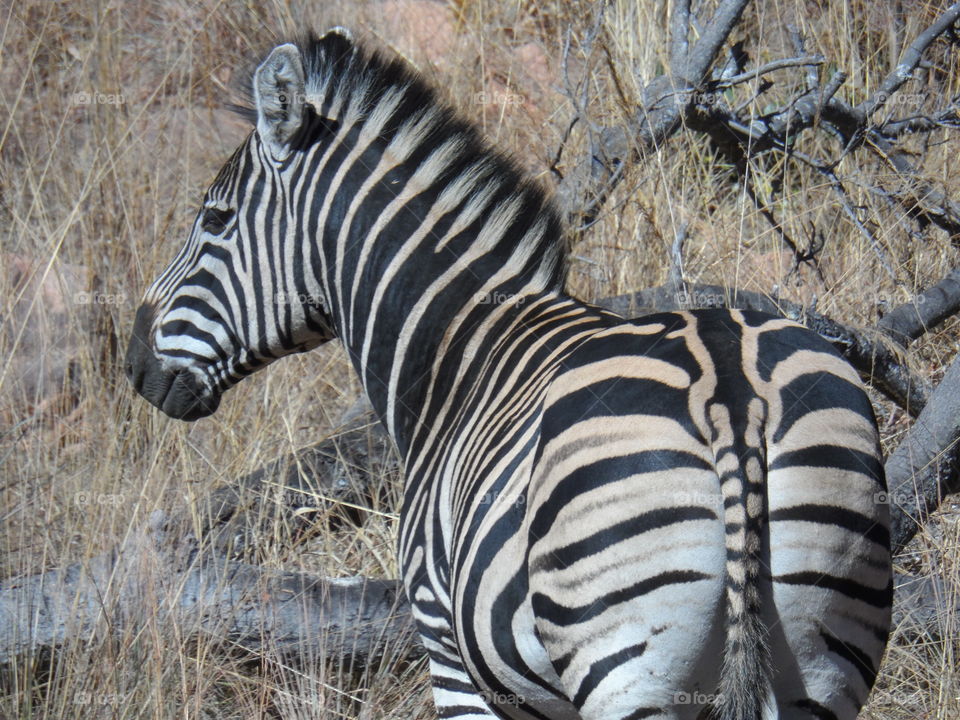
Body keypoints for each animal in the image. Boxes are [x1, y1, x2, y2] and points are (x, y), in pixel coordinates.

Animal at [125, 31, 892, 720]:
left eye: (214, 220)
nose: (134, 364)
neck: (456, 356)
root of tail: (730, 393)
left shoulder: (448, 646)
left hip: (625, 667)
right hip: (822, 655)